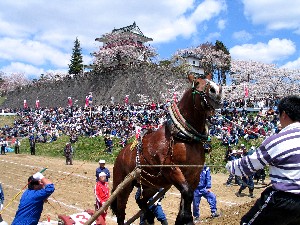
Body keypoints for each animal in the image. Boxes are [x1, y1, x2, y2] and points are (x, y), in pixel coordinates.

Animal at [111, 73, 221, 223]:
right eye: (197, 83)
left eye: (212, 81)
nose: (216, 90)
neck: (184, 137)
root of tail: (121, 153)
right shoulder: (172, 170)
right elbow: (187, 194)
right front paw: (187, 219)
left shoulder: (194, 175)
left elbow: (186, 199)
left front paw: (182, 219)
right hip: (123, 185)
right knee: (121, 212)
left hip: (151, 184)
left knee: (141, 200)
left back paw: (149, 216)